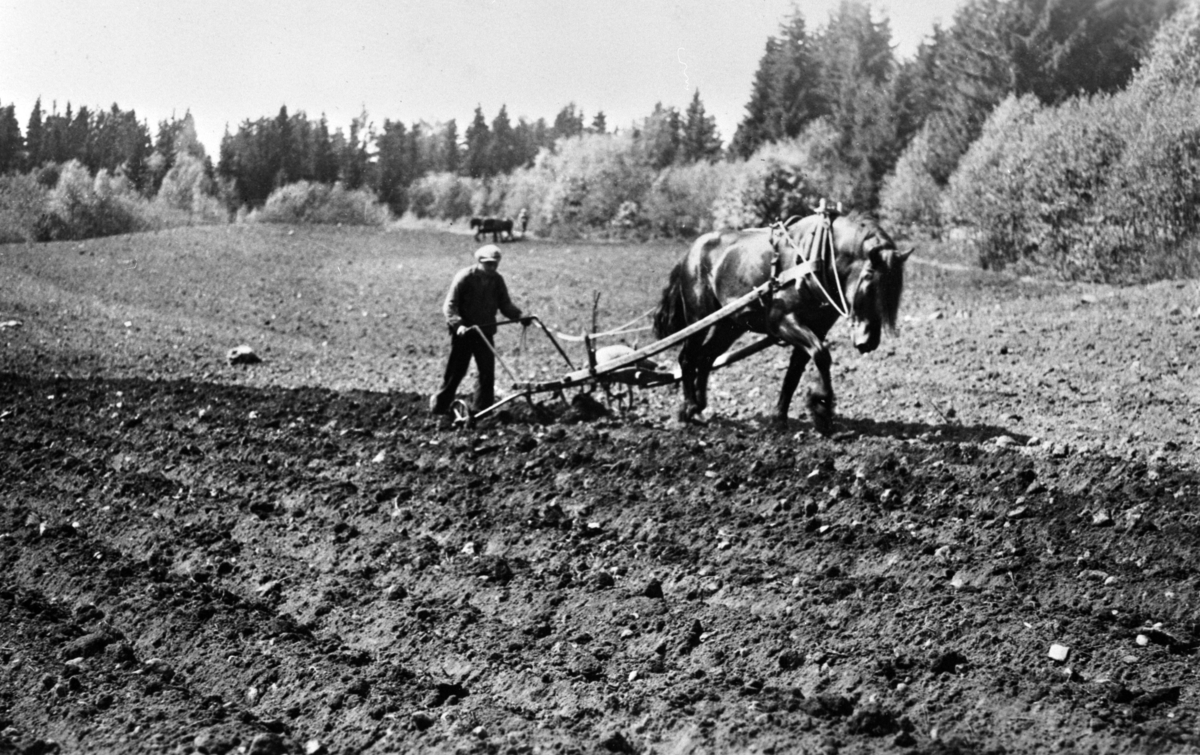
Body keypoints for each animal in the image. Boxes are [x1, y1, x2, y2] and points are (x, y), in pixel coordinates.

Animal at [657, 208, 907, 432]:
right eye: (869, 281)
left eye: (893, 292)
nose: (868, 342)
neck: (817, 257)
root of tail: (691, 251)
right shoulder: (782, 321)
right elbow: (821, 355)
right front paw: (821, 407)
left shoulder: (816, 328)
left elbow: (795, 373)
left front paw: (781, 418)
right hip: (698, 317)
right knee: (687, 357)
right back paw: (689, 409)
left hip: (730, 324)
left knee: (706, 357)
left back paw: (699, 406)